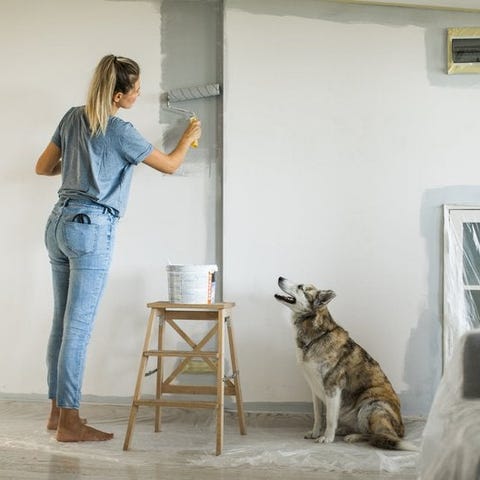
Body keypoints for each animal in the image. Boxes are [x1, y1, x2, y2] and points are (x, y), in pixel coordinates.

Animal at [274, 276, 416, 452]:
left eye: (301, 287)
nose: (280, 277)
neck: (316, 335)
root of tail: (402, 430)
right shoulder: (315, 390)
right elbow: (318, 417)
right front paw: (315, 433)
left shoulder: (333, 388)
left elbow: (329, 418)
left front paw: (327, 438)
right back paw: (345, 430)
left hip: (371, 406)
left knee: (378, 435)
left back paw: (353, 436)